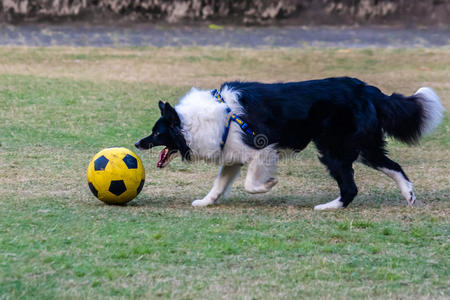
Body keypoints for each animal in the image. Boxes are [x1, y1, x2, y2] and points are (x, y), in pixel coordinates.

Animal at [134, 77, 442, 209]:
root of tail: (367, 89)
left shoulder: (262, 150)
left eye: (157, 133)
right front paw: (205, 202)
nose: (137, 143)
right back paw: (409, 195)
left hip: (332, 150)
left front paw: (269, 184)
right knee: (394, 165)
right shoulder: (233, 155)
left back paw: (329, 207)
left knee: (351, 186)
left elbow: (251, 184)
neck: (196, 121)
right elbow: (219, 184)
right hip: (363, 146)